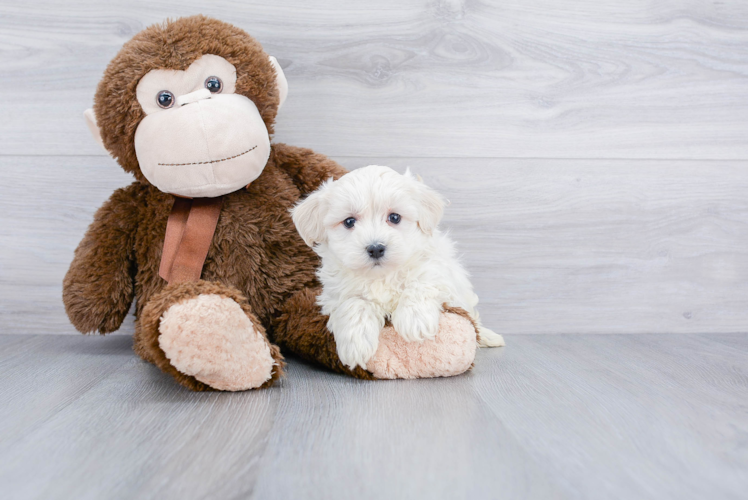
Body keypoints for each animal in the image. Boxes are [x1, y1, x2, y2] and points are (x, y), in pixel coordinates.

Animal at [292, 166, 502, 370]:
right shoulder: (336, 293)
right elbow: (354, 303)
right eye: (349, 221)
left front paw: (415, 320)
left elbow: (422, 282)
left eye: (394, 217)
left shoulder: (438, 272)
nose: (376, 248)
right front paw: (356, 344)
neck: (382, 276)